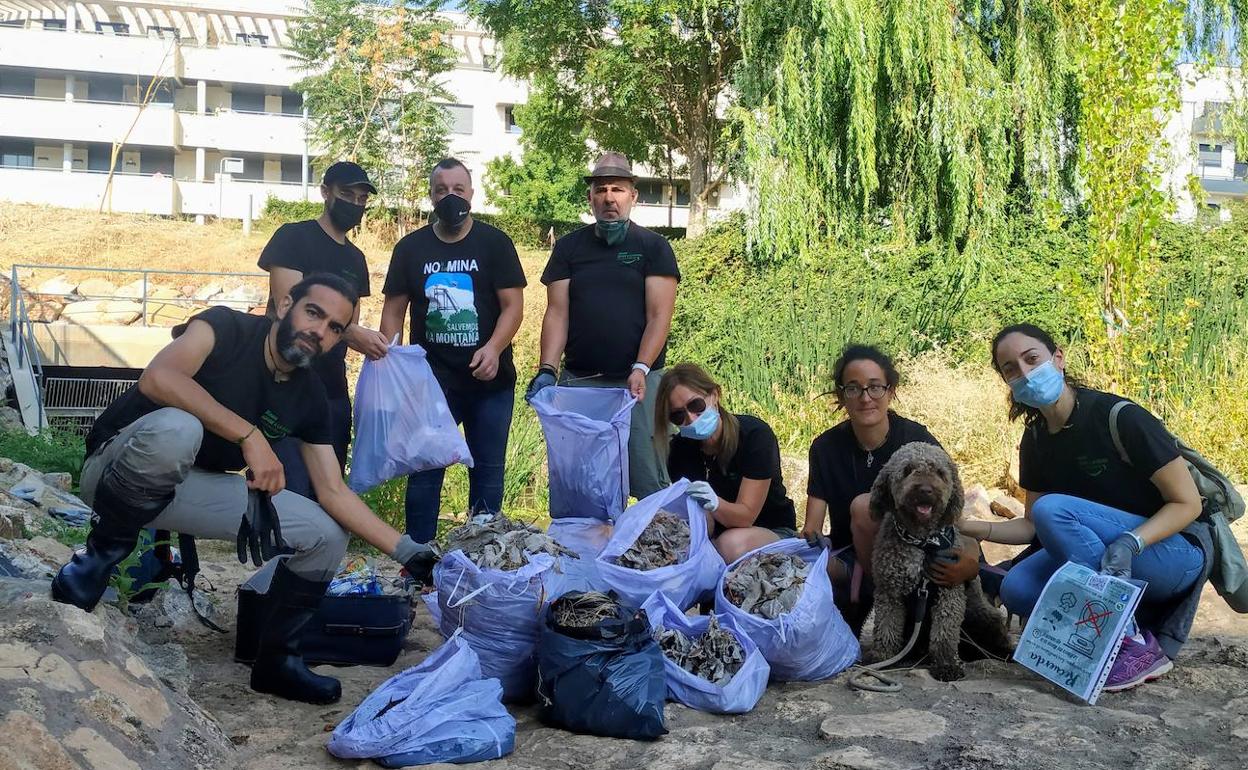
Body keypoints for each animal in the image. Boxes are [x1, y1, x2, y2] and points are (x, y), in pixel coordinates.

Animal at [868, 439, 1013, 678]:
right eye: (907, 470)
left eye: (939, 473)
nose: (926, 491)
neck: (923, 542)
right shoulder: (891, 592)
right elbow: (886, 626)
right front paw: (882, 658)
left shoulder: (948, 593)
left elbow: (944, 632)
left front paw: (946, 665)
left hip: (982, 614)